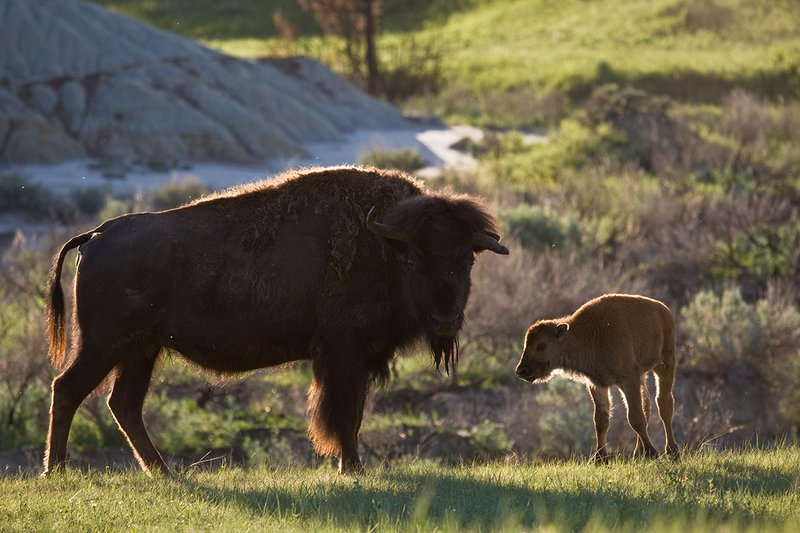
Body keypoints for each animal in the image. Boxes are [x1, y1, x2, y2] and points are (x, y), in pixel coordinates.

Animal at [43, 166, 509, 475]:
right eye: (413, 259)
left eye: (467, 258)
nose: (445, 319)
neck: (382, 245)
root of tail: (97, 234)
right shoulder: (344, 355)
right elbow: (345, 415)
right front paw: (352, 469)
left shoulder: (354, 360)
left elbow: (353, 413)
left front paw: (351, 467)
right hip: (103, 344)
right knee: (68, 389)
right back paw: (58, 471)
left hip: (140, 349)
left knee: (123, 404)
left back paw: (164, 473)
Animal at [515, 294, 679, 460]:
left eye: (541, 346)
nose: (521, 370)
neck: (586, 333)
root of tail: (663, 309)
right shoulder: (597, 384)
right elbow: (601, 420)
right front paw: (599, 458)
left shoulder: (627, 379)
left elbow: (635, 417)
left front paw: (652, 452)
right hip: (642, 375)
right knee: (647, 404)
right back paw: (638, 454)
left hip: (664, 364)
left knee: (664, 403)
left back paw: (672, 451)